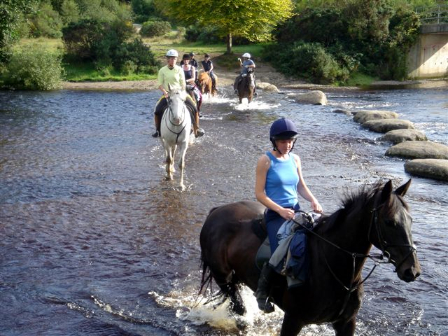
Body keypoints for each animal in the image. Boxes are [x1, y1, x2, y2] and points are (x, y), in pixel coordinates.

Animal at [200, 180, 420, 336]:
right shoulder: (293, 320)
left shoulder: (346, 323)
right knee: (238, 308)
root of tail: (216, 212)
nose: (412, 271)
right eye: (389, 222)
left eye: (410, 220)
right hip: (224, 278)